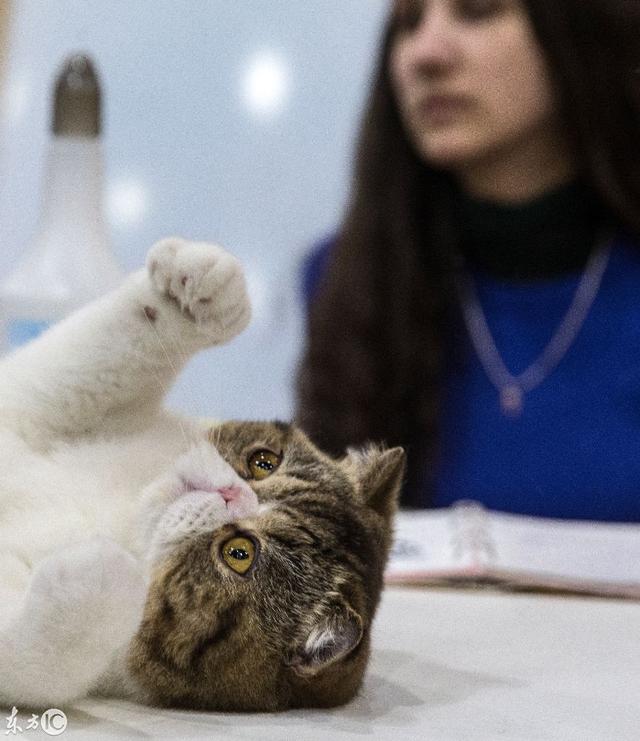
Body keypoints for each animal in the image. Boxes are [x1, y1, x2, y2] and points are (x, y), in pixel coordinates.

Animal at [0, 237, 404, 712]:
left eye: (239, 553)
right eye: (263, 463)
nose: (228, 490)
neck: (123, 511)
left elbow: (40, 659)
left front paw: (103, 573)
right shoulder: (34, 410)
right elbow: (83, 362)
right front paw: (203, 287)